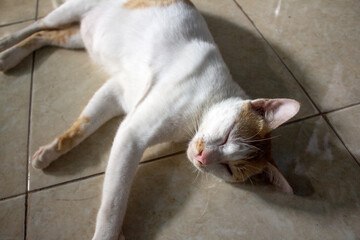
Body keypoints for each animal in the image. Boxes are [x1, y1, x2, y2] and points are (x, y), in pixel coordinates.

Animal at [0, 0, 300, 239]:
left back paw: (11, 56)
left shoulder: (116, 91)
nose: (203, 158)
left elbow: (80, 129)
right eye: (228, 135)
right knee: (38, 24)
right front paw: (109, 234)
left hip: (78, 37)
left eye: (228, 169)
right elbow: (114, 200)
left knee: (45, 35)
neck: (205, 106)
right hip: (70, 11)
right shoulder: (132, 134)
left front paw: (49, 152)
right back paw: (6, 45)